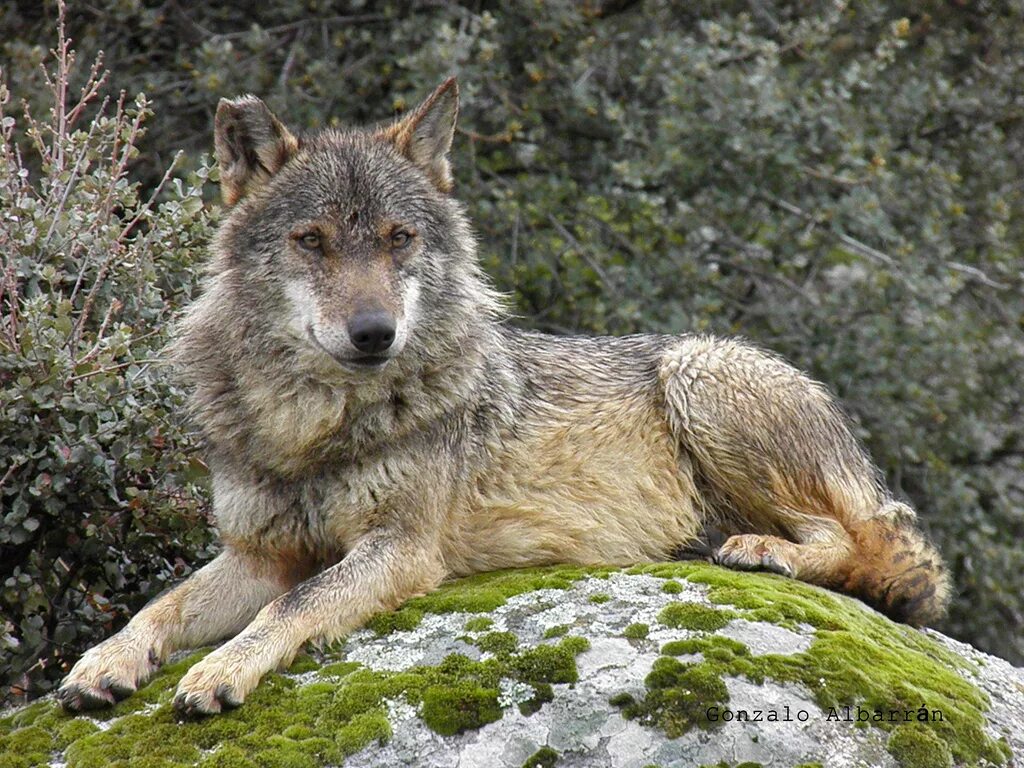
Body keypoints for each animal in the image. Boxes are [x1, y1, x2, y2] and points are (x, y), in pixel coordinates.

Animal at [58, 76, 950, 716]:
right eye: (312, 241)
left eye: (399, 239)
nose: (375, 333)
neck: (312, 424)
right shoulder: (259, 555)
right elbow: (160, 608)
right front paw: (102, 662)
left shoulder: (400, 549)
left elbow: (293, 608)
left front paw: (220, 670)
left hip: (697, 373)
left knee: (862, 545)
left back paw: (767, 551)